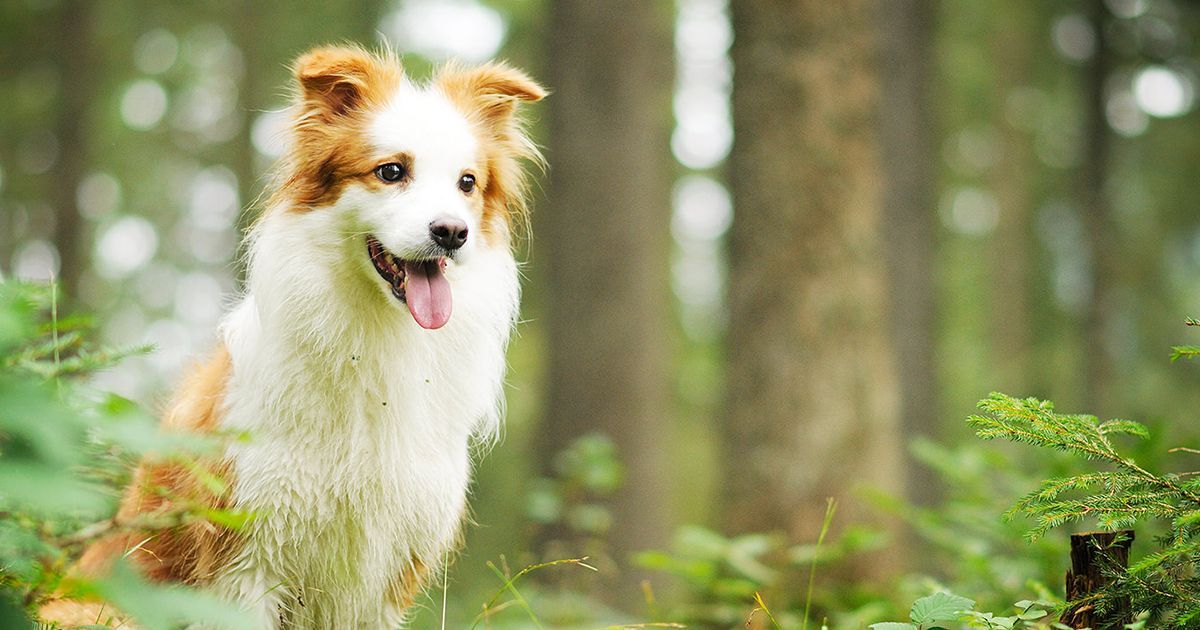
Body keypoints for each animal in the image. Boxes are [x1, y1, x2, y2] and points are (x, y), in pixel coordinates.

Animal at [37, 42, 544, 624]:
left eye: (467, 182)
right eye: (392, 171)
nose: (453, 233)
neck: (377, 341)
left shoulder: (391, 572)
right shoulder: (246, 559)